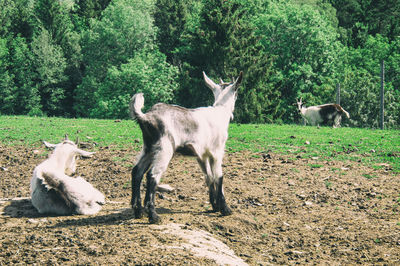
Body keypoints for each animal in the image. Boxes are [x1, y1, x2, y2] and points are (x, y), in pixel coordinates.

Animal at [130, 71, 242, 224]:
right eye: (236, 93)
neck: (220, 112)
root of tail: (147, 117)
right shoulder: (217, 152)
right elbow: (219, 177)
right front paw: (225, 209)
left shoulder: (202, 155)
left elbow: (209, 177)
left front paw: (214, 206)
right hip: (164, 148)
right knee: (152, 175)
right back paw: (153, 216)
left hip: (149, 148)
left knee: (137, 172)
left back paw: (138, 211)